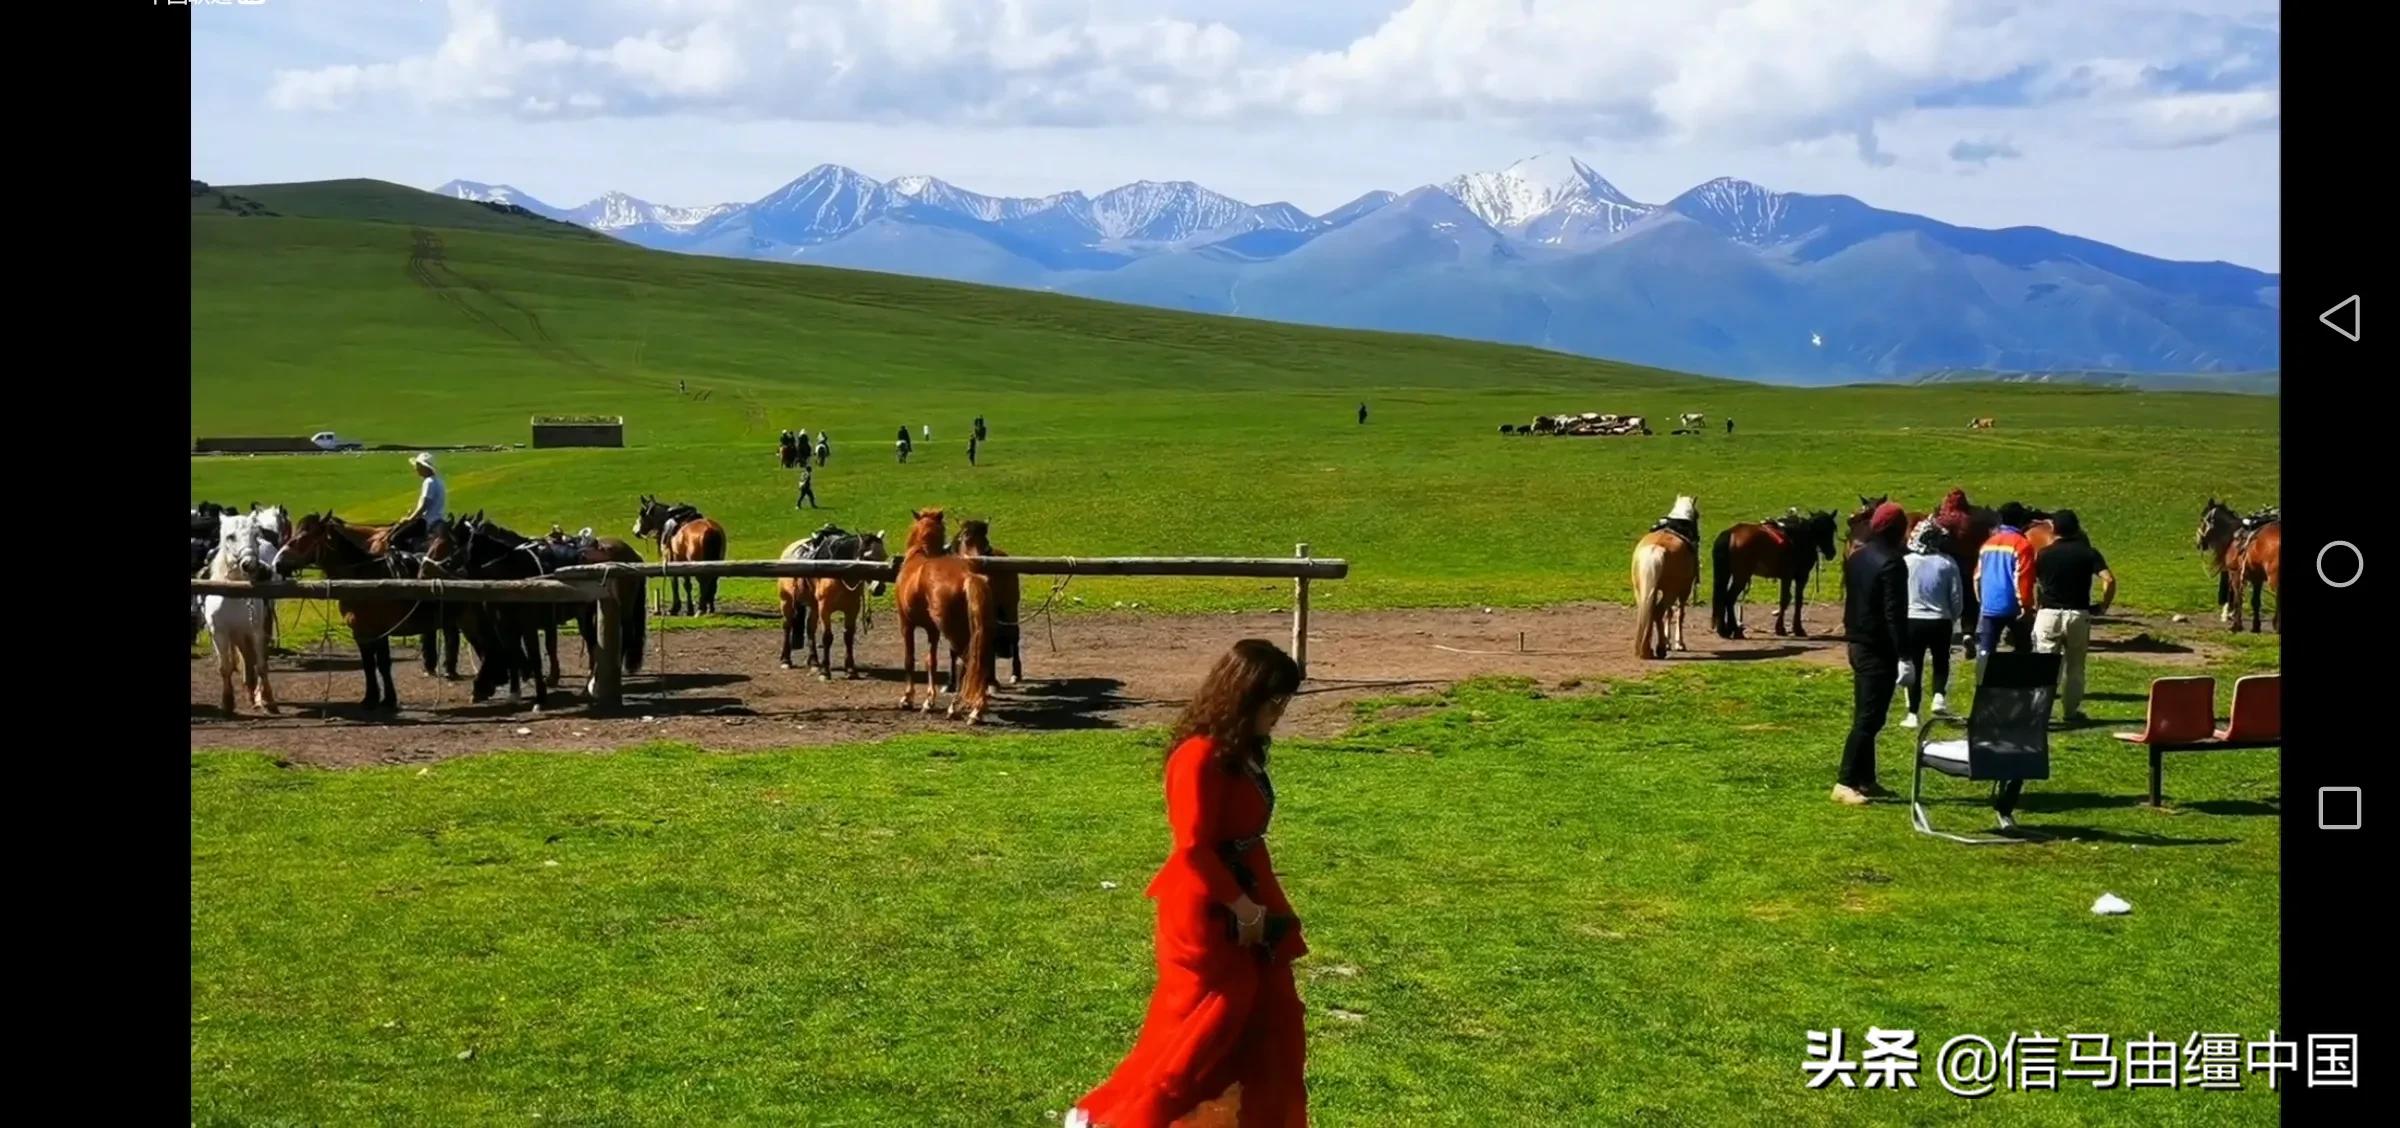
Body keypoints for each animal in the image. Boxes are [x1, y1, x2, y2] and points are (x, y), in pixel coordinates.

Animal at [202, 511, 282, 715]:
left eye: (255, 535)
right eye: (230, 536)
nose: (251, 564)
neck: (234, 594)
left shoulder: (256, 632)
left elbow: (261, 665)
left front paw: (269, 700)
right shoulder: (220, 633)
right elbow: (225, 668)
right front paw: (227, 702)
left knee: (252, 659)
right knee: (246, 658)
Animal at [892, 508, 993, 724]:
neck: (919, 554)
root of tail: (968, 577)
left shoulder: (906, 624)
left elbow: (909, 659)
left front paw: (907, 698)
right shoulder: (933, 630)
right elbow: (932, 661)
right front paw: (928, 701)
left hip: (952, 631)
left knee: (968, 661)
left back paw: (961, 709)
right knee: (980, 661)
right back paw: (973, 709)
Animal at [950, 520, 1027, 686]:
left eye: (986, 543)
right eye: (966, 538)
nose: (978, 565)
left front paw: (990, 681)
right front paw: (952, 683)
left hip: (1010, 608)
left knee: (1013, 636)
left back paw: (1014, 674)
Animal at [1632, 496, 1708, 662]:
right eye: (1698, 515)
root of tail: (1655, 550)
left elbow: (1669, 613)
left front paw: (1668, 641)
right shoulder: (1684, 590)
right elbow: (1679, 614)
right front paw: (1678, 643)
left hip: (1642, 590)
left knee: (1649, 612)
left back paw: (1647, 649)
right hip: (1671, 592)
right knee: (1658, 611)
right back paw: (1660, 648)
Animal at [2198, 501, 2284, 633]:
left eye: (2203, 519)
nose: (2199, 543)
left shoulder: (2236, 574)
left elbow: (2238, 599)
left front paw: (2236, 625)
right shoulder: (2257, 578)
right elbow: (2255, 602)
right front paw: (2255, 627)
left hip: (2273, 577)